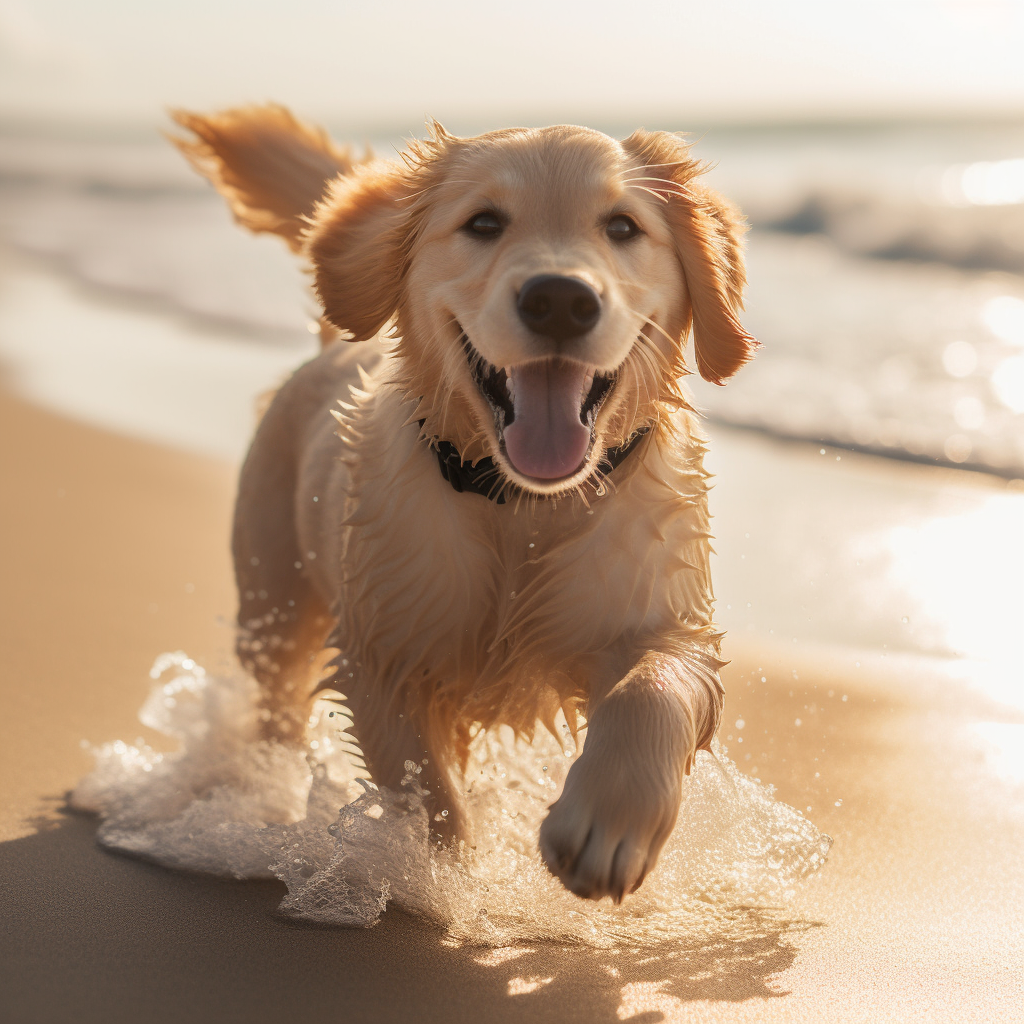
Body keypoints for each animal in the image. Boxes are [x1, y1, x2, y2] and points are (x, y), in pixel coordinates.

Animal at [172, 103, 757, 905]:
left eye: (623, 226)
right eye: (484, 223)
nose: (560, 299)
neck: (522, 507)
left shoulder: (666, 620)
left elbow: (654, 690)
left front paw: (607, 825)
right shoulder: (383, 654)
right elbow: (424, 791)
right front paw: (449, 881)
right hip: (275, 593)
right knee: (278, 694)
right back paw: (265, 783)